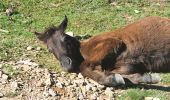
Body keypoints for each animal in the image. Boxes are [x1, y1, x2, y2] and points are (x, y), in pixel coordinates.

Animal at [34, 16, 170, 86]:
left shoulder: (112, 43)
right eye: (49, 49)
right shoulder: (129, 66)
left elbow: (84, 67)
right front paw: (147, 77)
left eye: (65, 38)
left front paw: (112, 79)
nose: (66, 65)